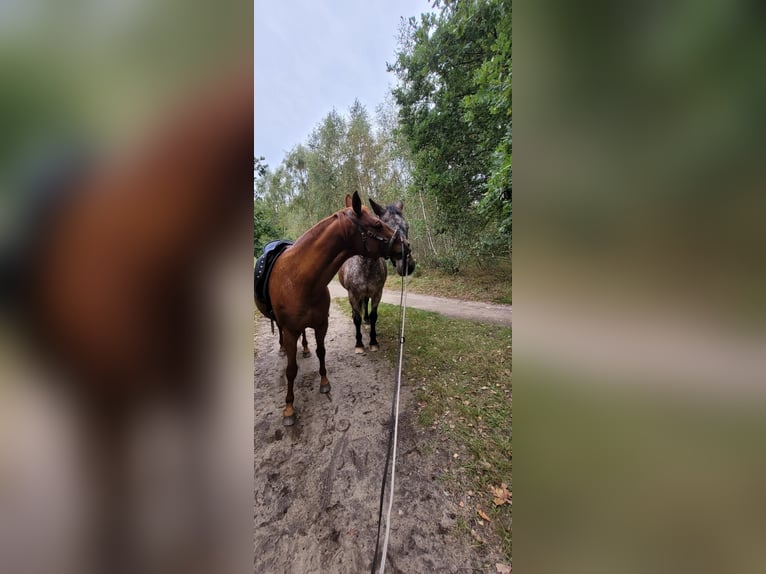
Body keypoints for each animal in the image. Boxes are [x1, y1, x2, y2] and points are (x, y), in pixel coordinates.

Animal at [256, 194, 408, 428]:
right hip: (283, 325)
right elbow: (291, 369)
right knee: (282, 334)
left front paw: (324, 382)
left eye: (406, 226)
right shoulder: (292, 330)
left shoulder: (322, 324)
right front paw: (289, 408)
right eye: (377, 224)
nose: (407, 250)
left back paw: (306, 349)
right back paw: (282, 349)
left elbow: (322, 351)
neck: (300, 280)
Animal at [340, 201, 416, 356]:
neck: (366, 265)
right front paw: (359, 344)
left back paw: (367, 320)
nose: (408, 265)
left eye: (407, 226)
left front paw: (373, 342)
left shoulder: (377, 292)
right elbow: (356, 318)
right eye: (384, 226)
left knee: (365, 303)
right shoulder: (353, 294)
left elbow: (374, 315)